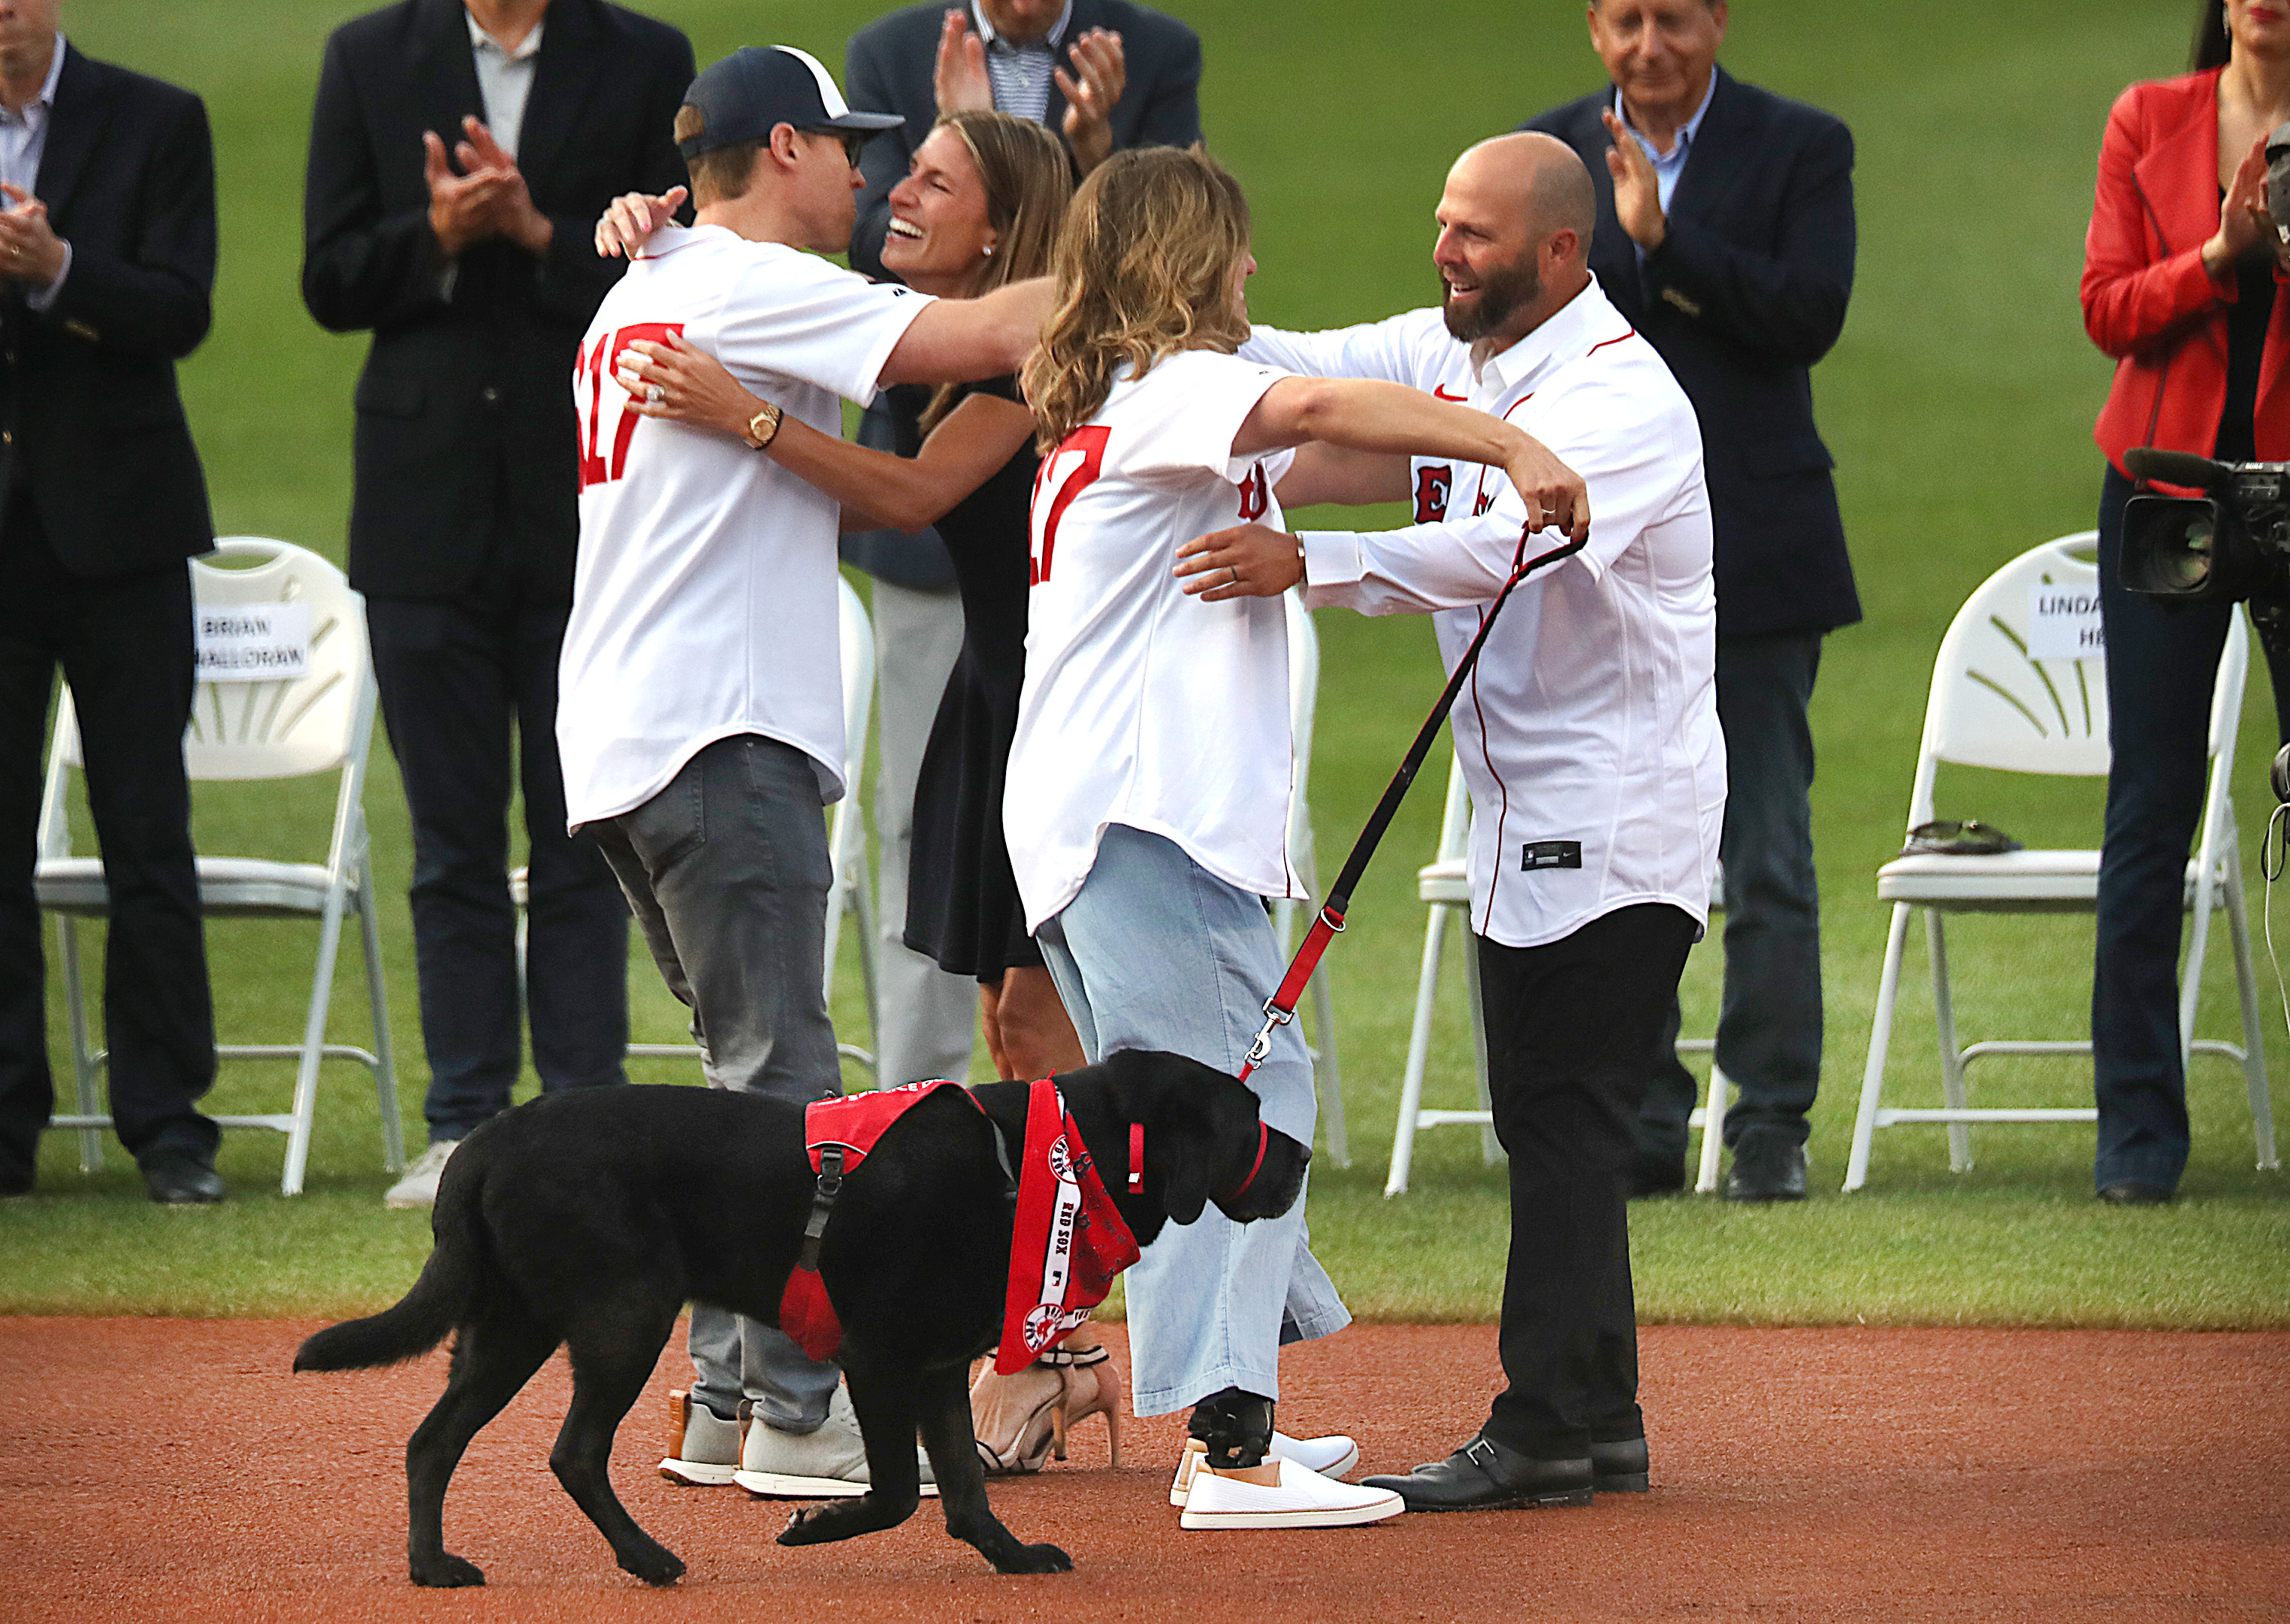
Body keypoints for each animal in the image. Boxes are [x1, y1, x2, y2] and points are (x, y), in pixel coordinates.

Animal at [291, 1053, 1310, 1585]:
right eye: (1250, 1116)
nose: (1300, 1159)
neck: (1052, 1161)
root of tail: (487, 1138)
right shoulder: (879, 1351)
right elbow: (897, 1490)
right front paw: (813, 1523)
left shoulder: (936, 1365)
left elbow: (964, 1489)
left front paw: (1011, 1556)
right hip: (622, 1313)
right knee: (572, 1450)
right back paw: (648, 1557)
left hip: (510, 1323)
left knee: (432, 1439)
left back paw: (433, 1565)